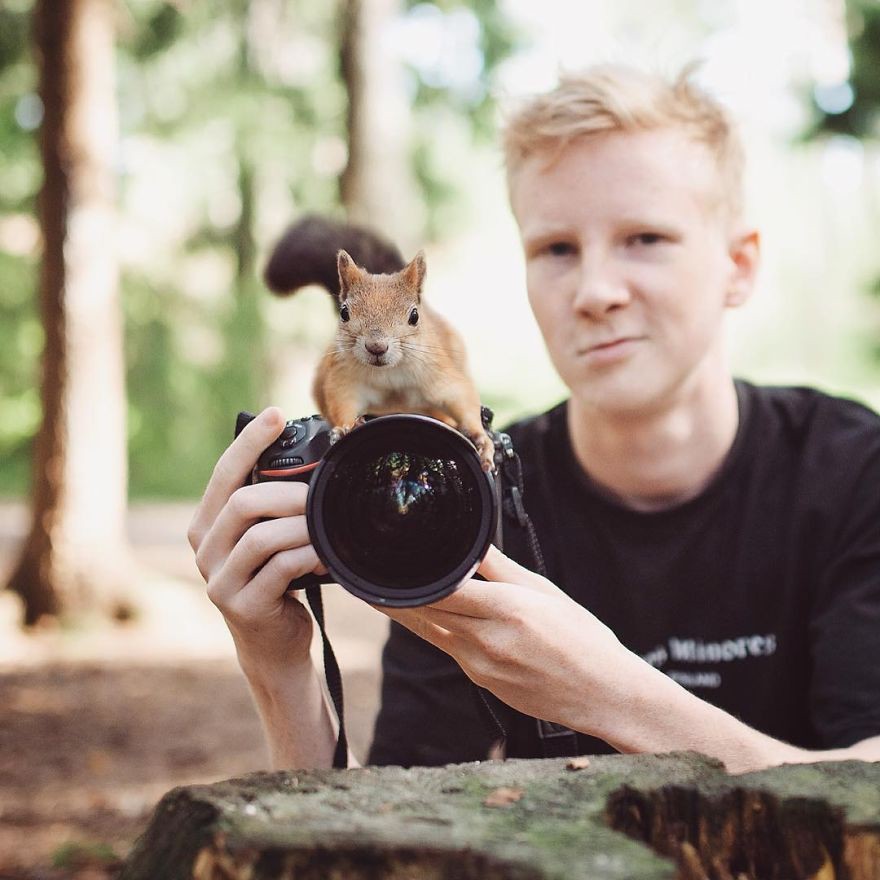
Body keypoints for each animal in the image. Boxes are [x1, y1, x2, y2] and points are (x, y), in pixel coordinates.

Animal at [262, 216, 496, 470]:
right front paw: (344, 428)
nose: (376, 347)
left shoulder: (438, 373)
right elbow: (341, 399)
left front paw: (481, 440)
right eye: (344, 313)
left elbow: (462, 396)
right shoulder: (344, 377)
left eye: (414, 316)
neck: (389, 375)